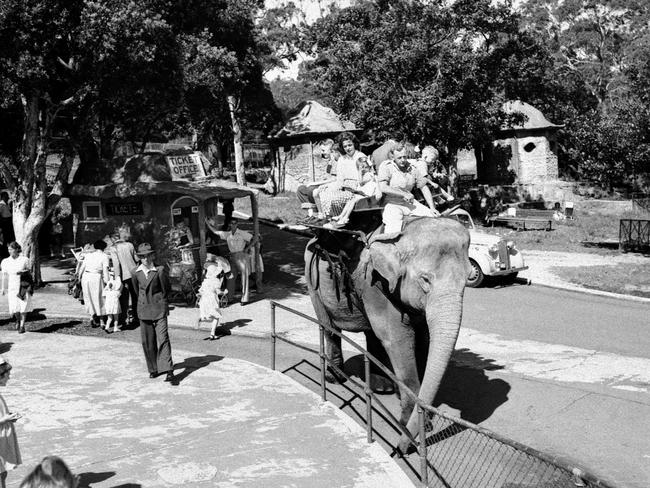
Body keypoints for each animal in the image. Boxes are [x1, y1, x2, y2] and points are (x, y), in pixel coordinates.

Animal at [304, 215, 466, 452]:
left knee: (372, 335)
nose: (400, 450)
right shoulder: (374, 284)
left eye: (468, 280)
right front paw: (410, 425)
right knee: (329, 326)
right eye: (425, 280)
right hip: (312, 282)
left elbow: (424, 339)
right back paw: (335, 377)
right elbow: (398, 339)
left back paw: (381, 388)